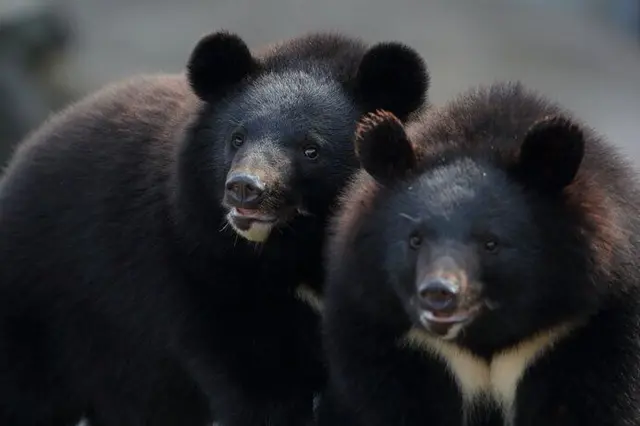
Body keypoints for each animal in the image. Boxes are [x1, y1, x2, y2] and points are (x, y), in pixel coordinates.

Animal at [0, 30, 429, 426]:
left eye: (312, 149)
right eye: (236, 138)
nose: (244, 188)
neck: (291, 252)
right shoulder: (203, 270)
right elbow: (261, 385)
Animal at [316, 82, 640, 426]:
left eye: (491, 243)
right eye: (415, 239)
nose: (439, 293)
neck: (484, 340)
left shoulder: (589, 326)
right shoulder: (382, 329)